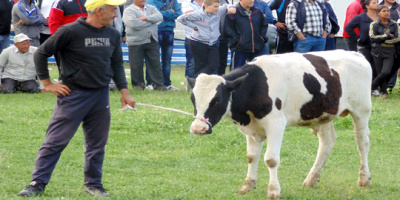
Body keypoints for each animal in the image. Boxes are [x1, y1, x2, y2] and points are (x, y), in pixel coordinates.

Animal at [188, 49, 372, 198]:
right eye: (192, 98)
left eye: (217, 100)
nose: (198, 128)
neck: (257, 84)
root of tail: (356, 54)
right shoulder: (251, 128)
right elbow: (251, 156)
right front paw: (247, 186)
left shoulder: (276, 123)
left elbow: (271, 159)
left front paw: (274, 191)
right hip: (324, 114)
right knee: (327, 142)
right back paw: (311, 180)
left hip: (361, 111)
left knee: (362, 143)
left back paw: (364, 180)